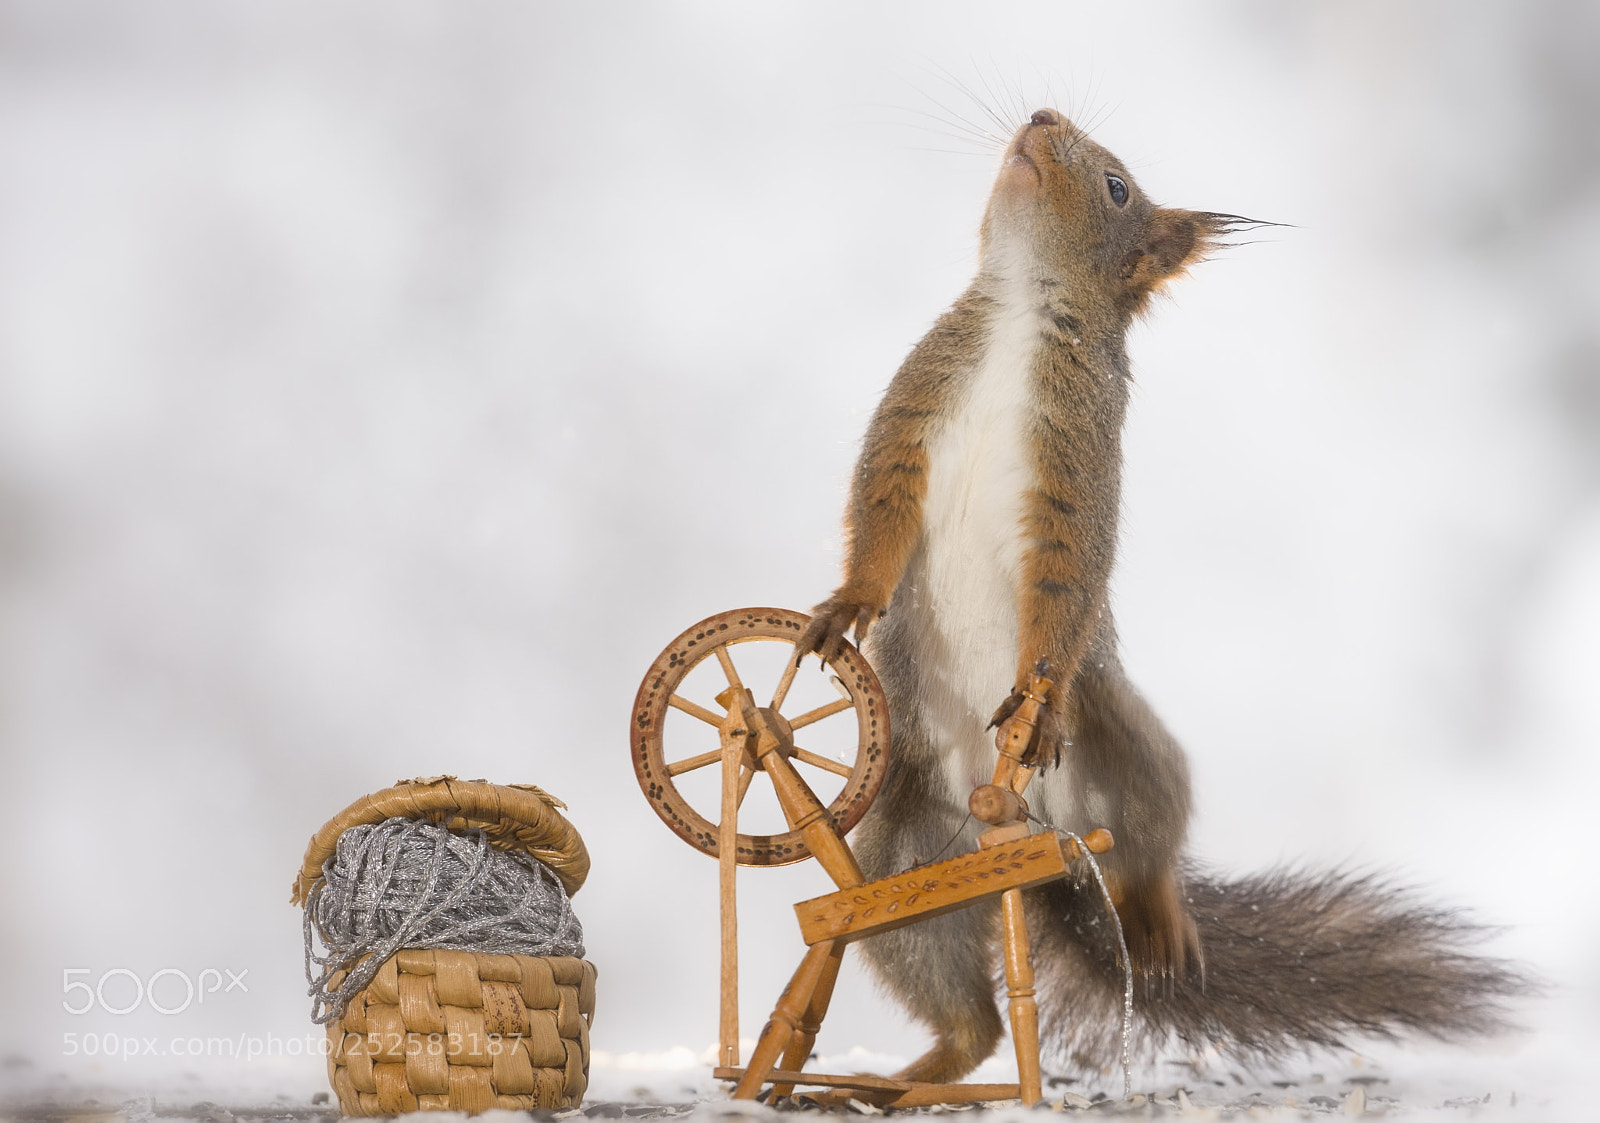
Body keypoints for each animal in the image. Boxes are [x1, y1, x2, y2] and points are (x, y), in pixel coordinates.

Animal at [796, 108, 1524, 1080]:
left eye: (1116, 188)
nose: (1042, 118)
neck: (1022, 310)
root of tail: (1035, 838)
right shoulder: (911, 412)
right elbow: (879, 518)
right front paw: (847, 607)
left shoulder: (1078, 463)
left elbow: (1065, 584)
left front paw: (1035, 696)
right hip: (897, 851)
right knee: (965, 1010)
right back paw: (902, 1079)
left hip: (1127, 738)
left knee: (1148, 845)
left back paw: (1159, 921)